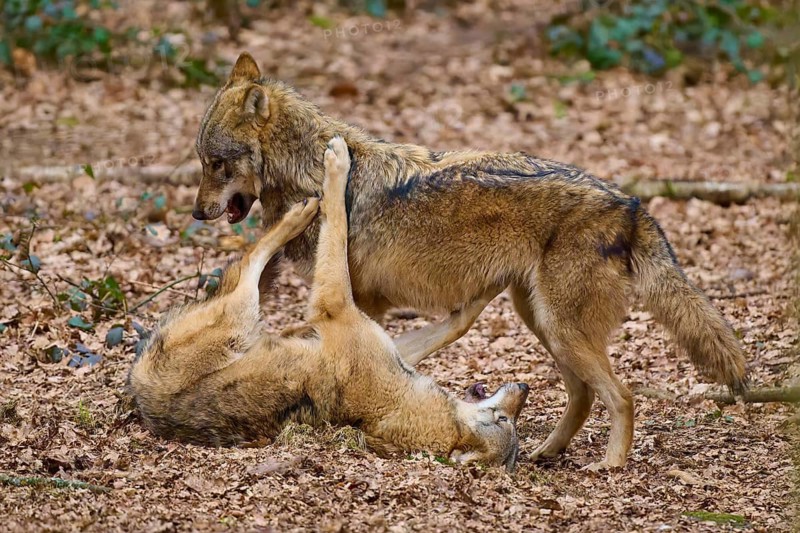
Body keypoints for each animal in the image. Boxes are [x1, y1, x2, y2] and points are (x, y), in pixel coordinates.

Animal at [130, 138, 530, 470]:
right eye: (505, 418)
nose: (525, 388)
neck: (397, 405)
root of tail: (140, 394)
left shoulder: (336, 308)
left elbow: (336, 222)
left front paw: (337, 166)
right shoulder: (387, 344)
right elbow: (456, 323)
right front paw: (484, 292)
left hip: (241, 315)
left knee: (253, 261)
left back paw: (298, 214)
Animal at [191, 52, 747, 470]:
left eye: (216, 164)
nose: (197, 212)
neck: (303, 169)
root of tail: (631, 204)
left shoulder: (363, 301)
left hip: (559, 327)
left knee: (621, 395)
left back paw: (608, 465)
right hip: (542, 321)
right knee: (583, 394)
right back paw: (546, 452)